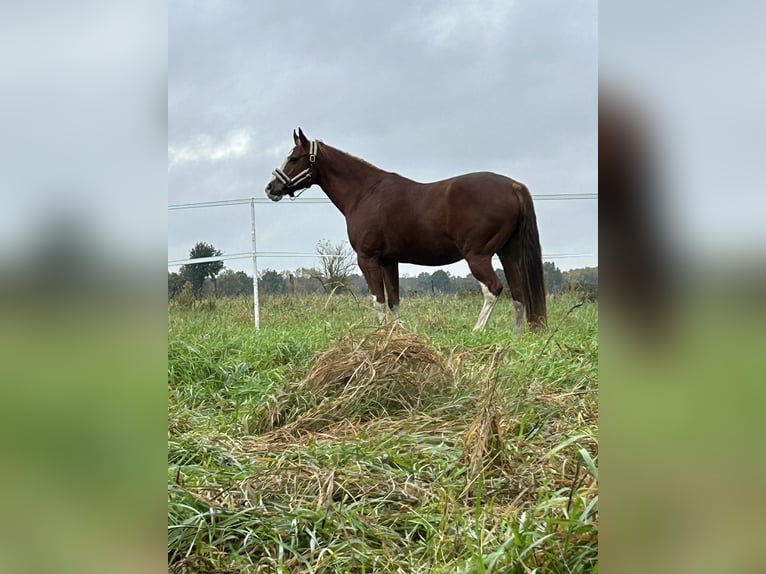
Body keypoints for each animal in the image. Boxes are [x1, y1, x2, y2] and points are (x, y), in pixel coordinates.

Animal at [268, 127, 548, 330]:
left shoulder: (368, 258)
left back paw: (477, 331)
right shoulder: (389, 261)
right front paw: (398, 333)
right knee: (518, 293)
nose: (271, 188)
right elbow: (394, 300)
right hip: (508, 253)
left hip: (478, 256)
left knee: (494, 289)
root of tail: (513, 186)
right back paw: (517, 335)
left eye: (294, 158)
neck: (365, 193)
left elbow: (378, 300)